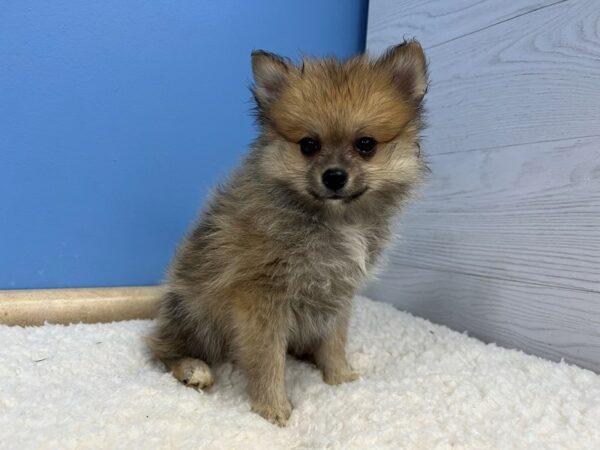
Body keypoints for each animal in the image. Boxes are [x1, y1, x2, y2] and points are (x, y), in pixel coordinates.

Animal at [146, 41, 426, 426]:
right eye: (308, 145)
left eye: (366, 144)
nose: (334, 176)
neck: (333, 219)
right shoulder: (262, 295)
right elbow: (267, 358)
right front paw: (272, 408)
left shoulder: (336, 292)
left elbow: (334, 341)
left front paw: (340, 378)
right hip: (197, 316)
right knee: (160, 347)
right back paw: (192, 368)